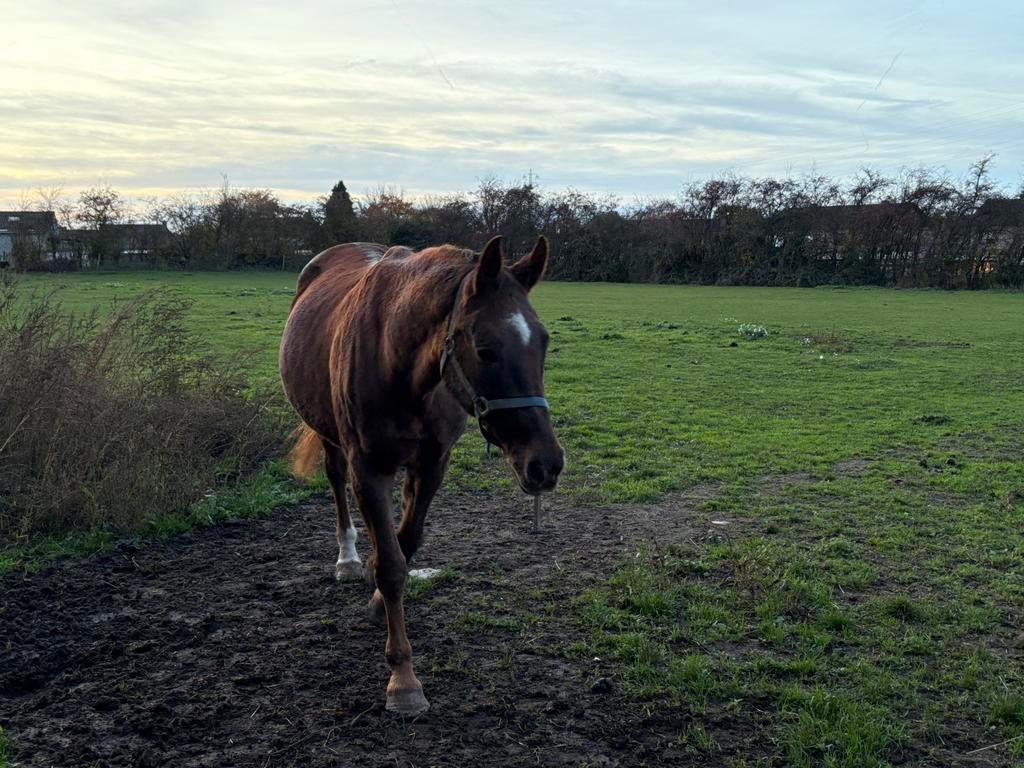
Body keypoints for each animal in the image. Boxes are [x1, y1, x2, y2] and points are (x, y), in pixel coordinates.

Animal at [279, 235, 564, 715]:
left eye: (542, 343)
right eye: (485, 349)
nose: (546, 464)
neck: (398, 360)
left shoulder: (432, 464)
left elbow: (406, 544)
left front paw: (380, 604)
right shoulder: (369, 470)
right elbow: (391, 564)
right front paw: (403, 679)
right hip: (330, 436)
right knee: (335, 480)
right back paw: (347, 557)